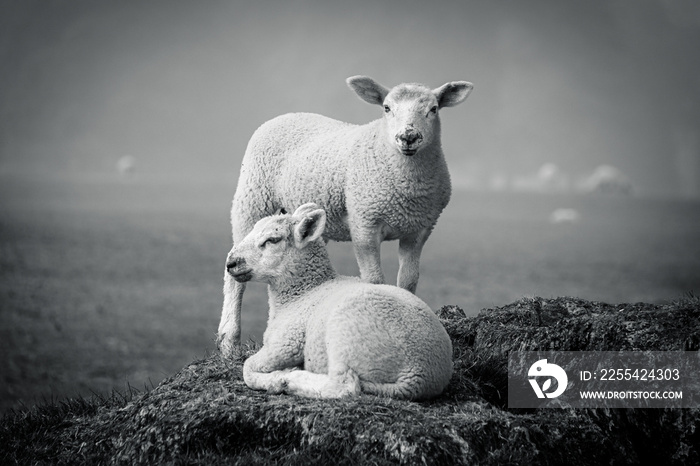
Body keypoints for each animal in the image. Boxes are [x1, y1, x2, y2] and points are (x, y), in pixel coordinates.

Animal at [216, 75, 474, 354]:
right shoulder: (364, 223)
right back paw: (228, 344)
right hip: (251, 197)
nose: (408, 137)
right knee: (234, 275)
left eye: (433, 109)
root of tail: (286, 115)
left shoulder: (419, 230)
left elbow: (408, 281)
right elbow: (374, 280)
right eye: (386, 108)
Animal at [227, 204, 452, 400]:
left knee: (344, 386)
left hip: (344, 336)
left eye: (273, 240)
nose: (231, 263)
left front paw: (277, 378)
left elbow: (247, 367)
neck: (304, 292)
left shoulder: (287, 342)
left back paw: (291, 379)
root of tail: (419, 376)